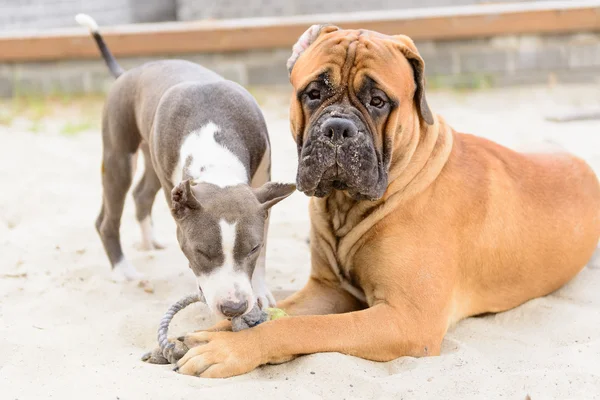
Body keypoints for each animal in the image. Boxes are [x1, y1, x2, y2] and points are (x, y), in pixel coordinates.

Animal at [76, 14, 296, 318]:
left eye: (252, 248)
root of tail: (128, 73)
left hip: (152, 163)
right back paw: (123, 271)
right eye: (201, 252)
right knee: (107, 219)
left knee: (141, 194)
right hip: (119, 158)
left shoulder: (262, 188)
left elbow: (263, 252)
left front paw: (261, 292)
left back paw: (150, 242)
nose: (234, 308)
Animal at [170, 25, 600, 378]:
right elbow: (274, 313)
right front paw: (212, 330)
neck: (348, 206)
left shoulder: (407, 319)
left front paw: (230, 348)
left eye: (378, 100)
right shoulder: (327, 290)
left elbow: (301, 326)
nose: (337, 128)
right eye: (313, 93)